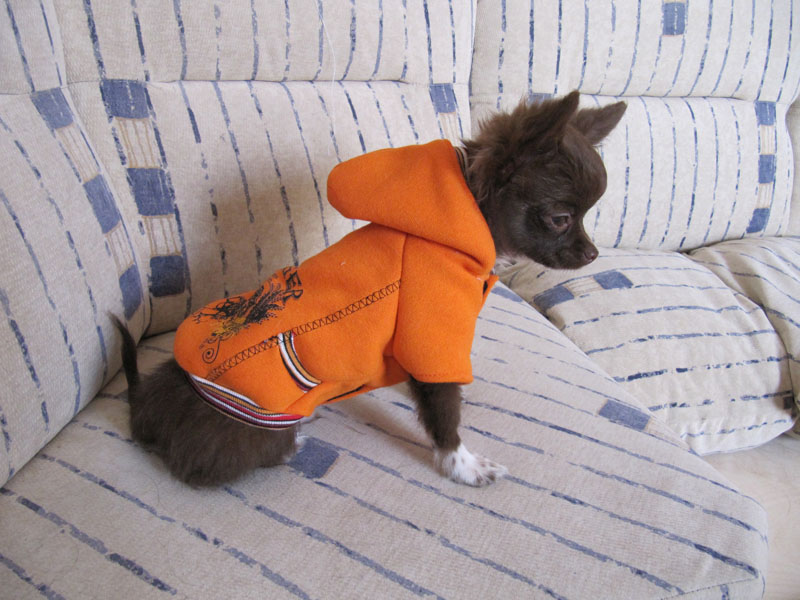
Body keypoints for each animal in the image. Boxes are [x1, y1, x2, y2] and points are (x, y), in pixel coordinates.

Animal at [113, 91, 625, 488]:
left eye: (586, 216)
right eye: (561, 218)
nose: (593, 254)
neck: (466, 226)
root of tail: (147, 407)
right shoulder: (430, 330)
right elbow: (445, 415)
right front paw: (463, 465)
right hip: (255, 430)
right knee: (208, 467)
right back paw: (293, 442)